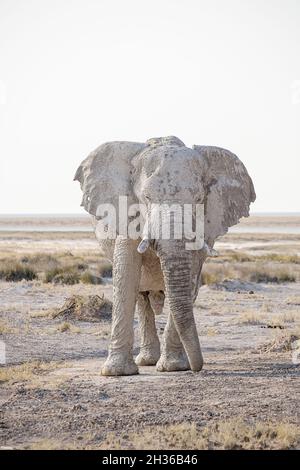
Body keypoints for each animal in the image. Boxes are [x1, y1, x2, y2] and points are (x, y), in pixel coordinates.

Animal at [74, 135, 255, 374]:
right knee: (141, 296)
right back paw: (146, 361)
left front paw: (173, 367)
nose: (198, 368)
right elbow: (126, 274)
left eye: (199, 198)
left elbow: (190, 276)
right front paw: (116, 373)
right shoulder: (126, 212)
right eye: (146, 197)